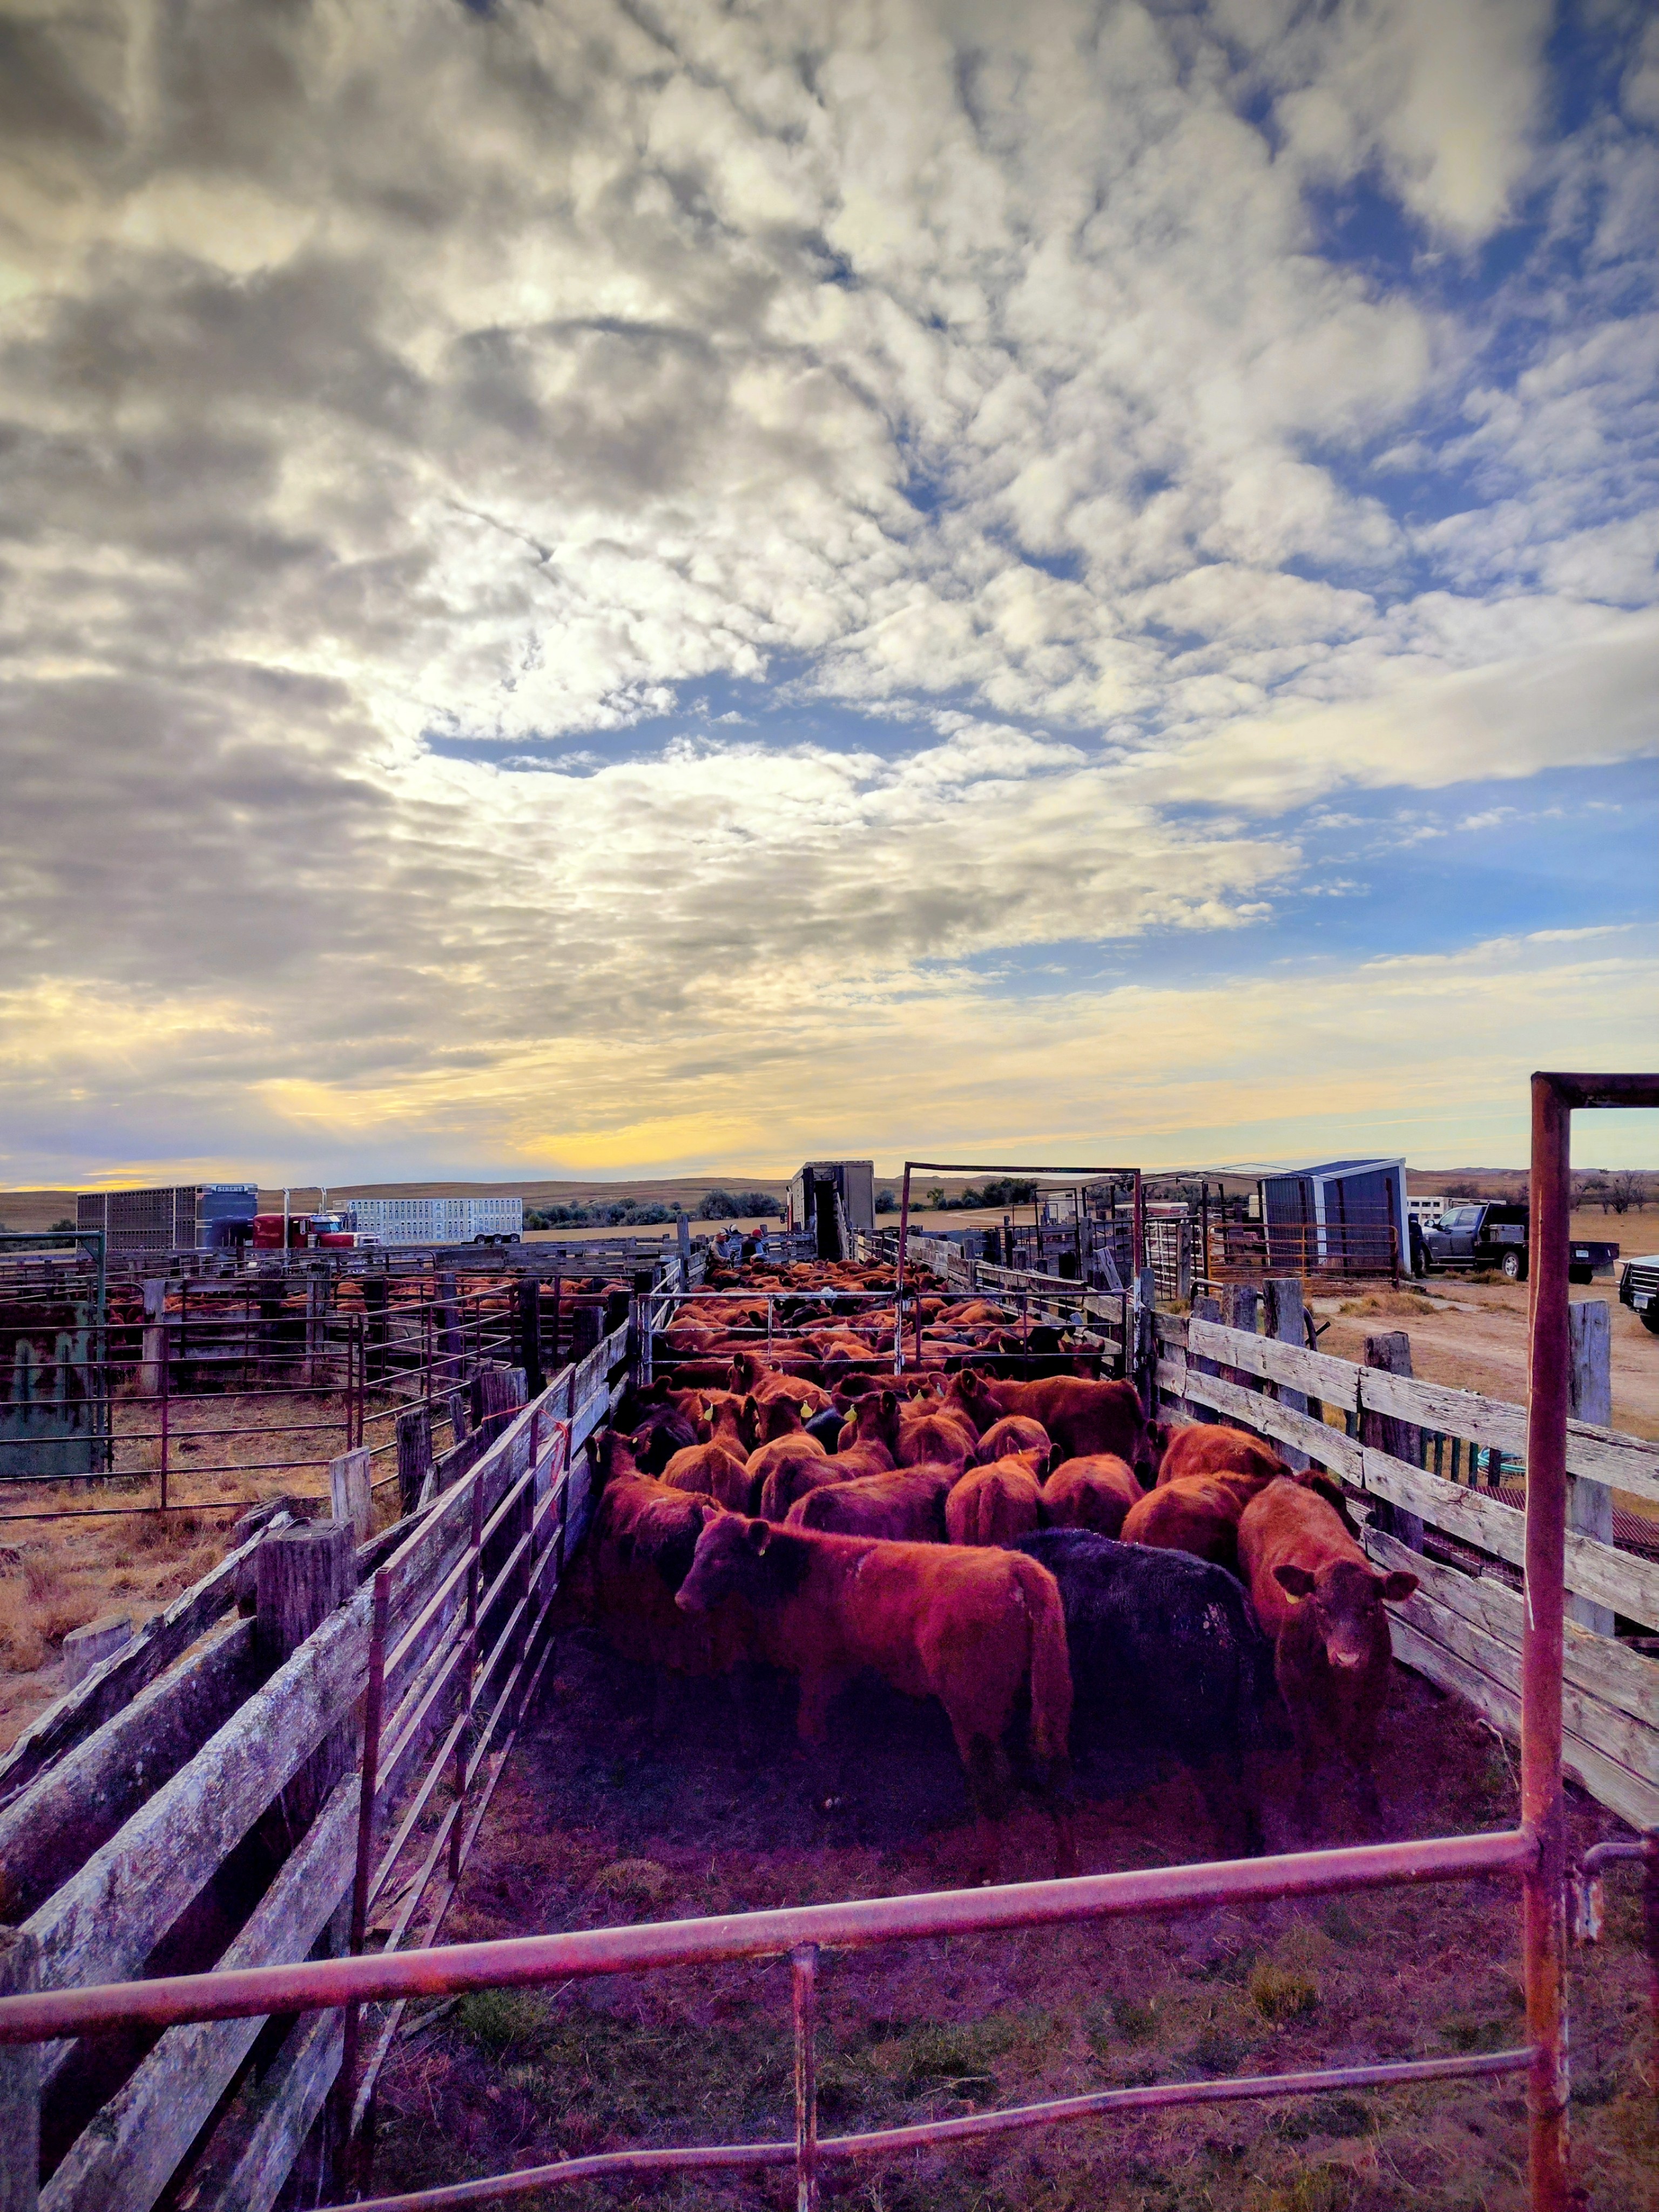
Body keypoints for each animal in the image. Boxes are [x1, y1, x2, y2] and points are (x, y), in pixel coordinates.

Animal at [676, 1515, 1076, 1880]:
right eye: (697, 1551)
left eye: (722, 1557)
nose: (682, 1599)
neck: (802, 1570)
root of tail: (1016, 1565)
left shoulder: (818, 1668)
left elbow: (810, 1731)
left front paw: (827, 1798)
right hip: (1048, 1701)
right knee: (1054, 1770)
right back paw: (1065, 1865)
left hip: (971, 1710)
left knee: (991, 1780)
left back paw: (987, 1871)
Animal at [1237, 1479, 1418, 1834]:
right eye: (1321, 1606)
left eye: (1371, 1607)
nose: (1348, 1658)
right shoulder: (1293, 1684)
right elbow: (1309, 1748)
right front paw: (1306, 1809)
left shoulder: (1376, 1685)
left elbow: (1361, 1746)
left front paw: (1370, 1808)